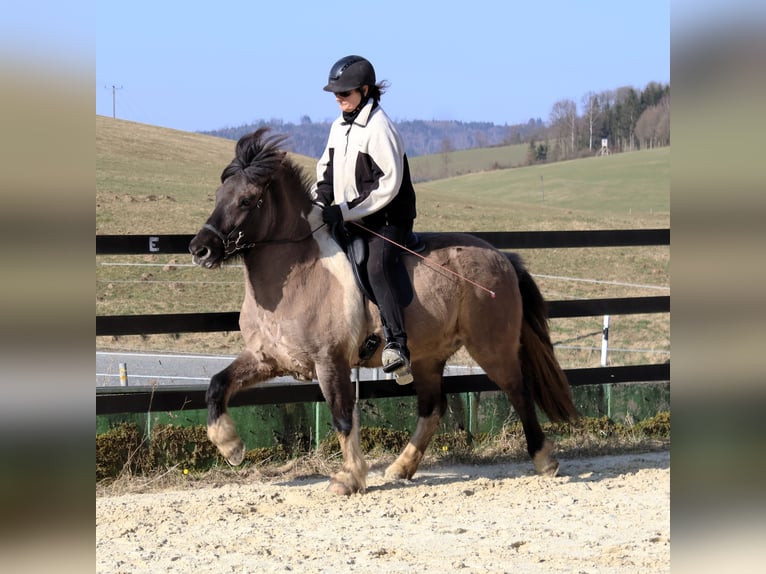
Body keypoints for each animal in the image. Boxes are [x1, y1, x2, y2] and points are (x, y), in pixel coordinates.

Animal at [189, 128, 578, 495]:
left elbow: (343, 417)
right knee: (433, 408)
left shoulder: (330, 362)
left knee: (518, 391)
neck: (298, 272)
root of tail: (503, 257)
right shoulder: (267, 358)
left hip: (491, 347)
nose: (200, 249)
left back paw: (544, 460)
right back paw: (401, 468)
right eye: (218, 197)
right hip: (427, 357)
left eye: (246, 200)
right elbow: (217, 385)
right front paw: (230, 446)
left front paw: (349, 477)